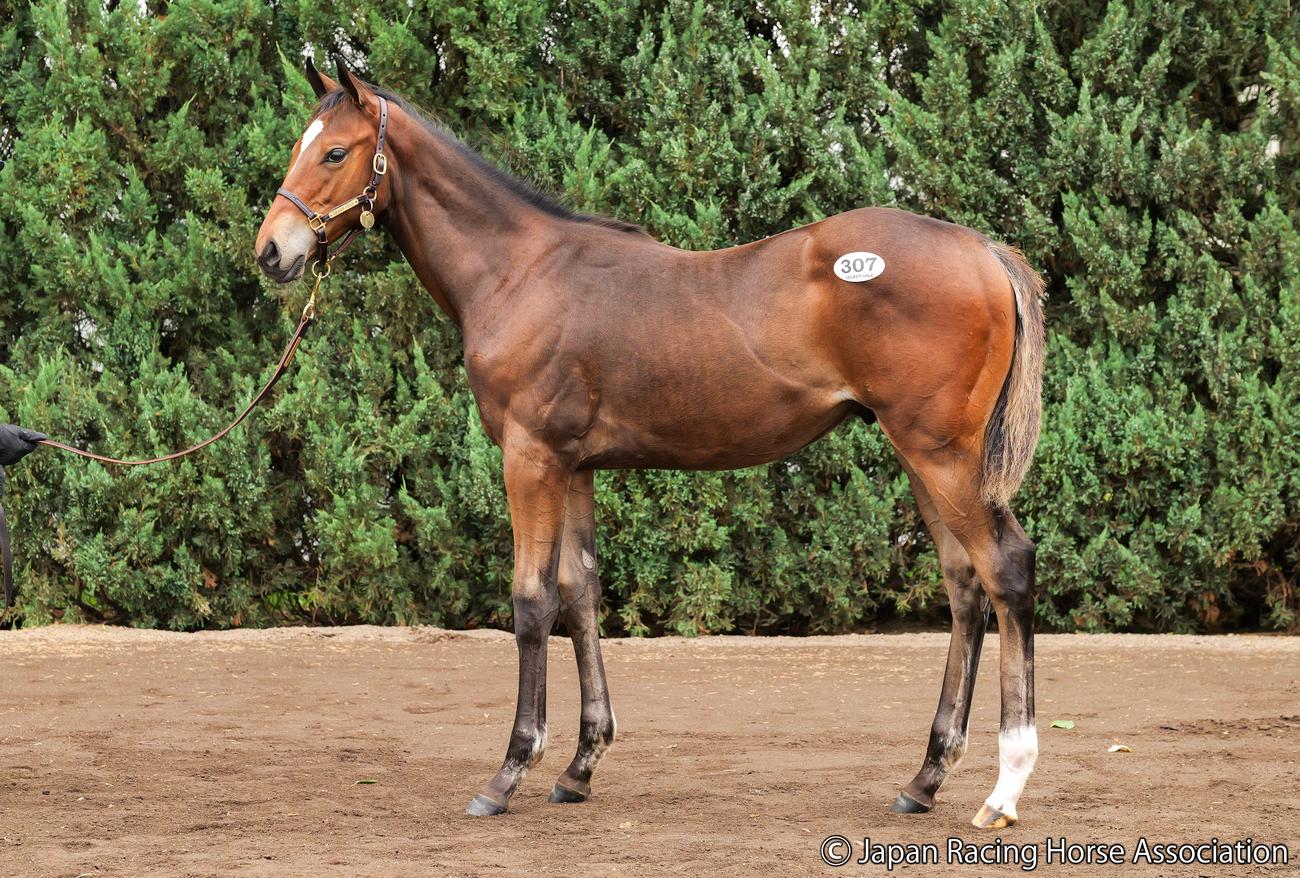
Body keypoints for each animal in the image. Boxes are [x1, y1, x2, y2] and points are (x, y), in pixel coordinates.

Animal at [255, 58, 1046, 830]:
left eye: (334, 152)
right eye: (298, 144)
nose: (270, 251)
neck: (517, 272)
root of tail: (979, 249)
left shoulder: (529, 458)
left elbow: (531, 602)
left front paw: (509, 772)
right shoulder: (573, 466)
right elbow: (580, 593)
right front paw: (579, 767)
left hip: (941, 455)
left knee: (1004, 568)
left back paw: (1004, 788)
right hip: (921, 456)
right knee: (964, 586)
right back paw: (925, 778)